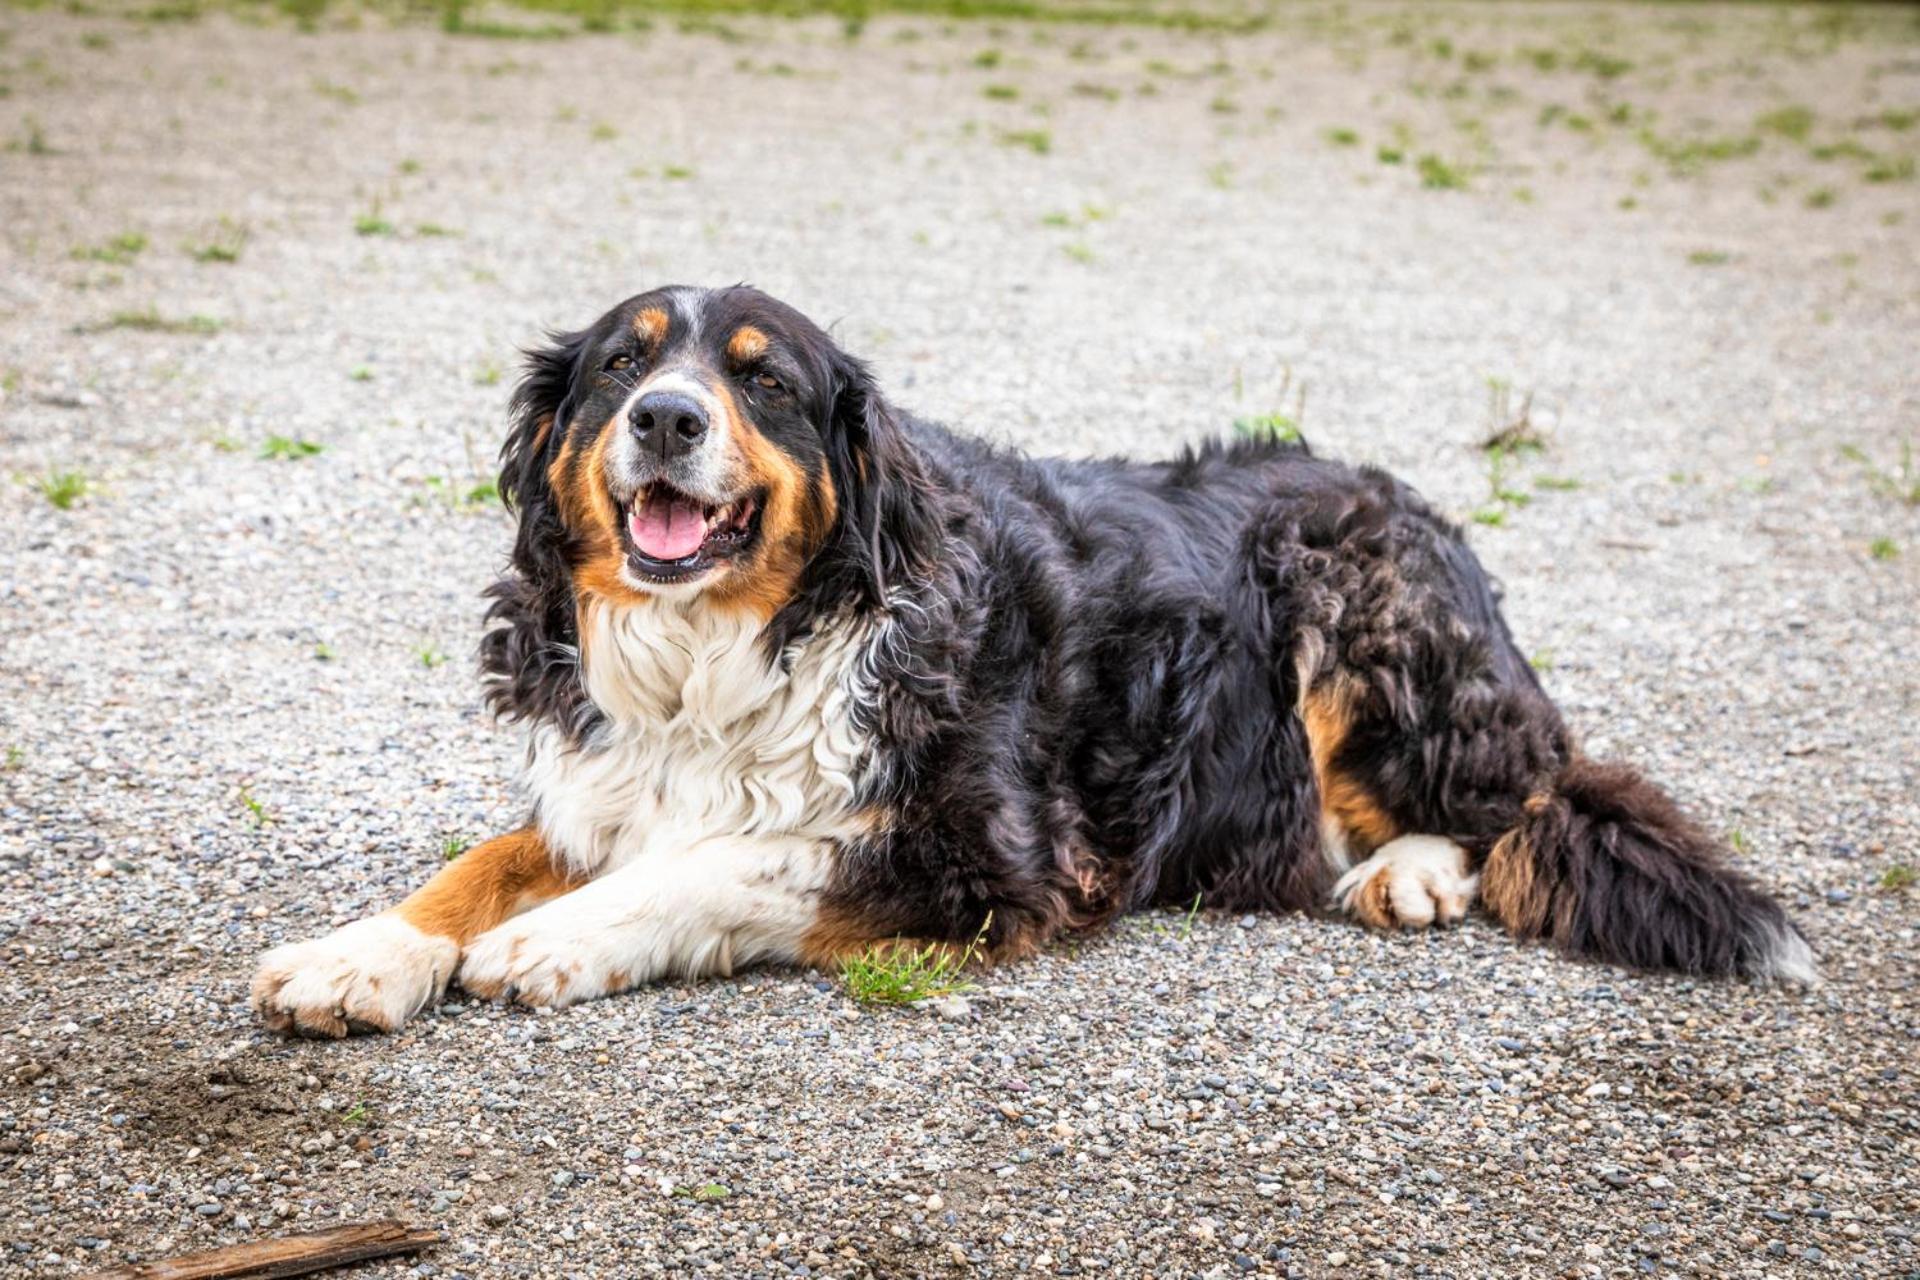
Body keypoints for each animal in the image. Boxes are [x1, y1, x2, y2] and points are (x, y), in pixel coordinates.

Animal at [251, 285, 1812, 1036]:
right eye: (619, 368)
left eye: (763, 379)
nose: (668, 419)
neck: (727, 648)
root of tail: (1414, 500)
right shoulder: (605, 785)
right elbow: (476, 867)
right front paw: (358, 955)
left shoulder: (979, 853)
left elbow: (721, 861)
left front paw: (560, 939)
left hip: (1342, 588)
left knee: (1512, 797)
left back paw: (1414, 869)